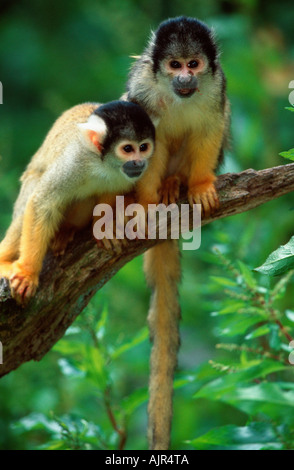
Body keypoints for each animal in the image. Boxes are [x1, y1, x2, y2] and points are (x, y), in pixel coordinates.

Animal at [0, 100, 156, 302]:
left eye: (144, 147)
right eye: (128, 149)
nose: (139, 163)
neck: (102, 164)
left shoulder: (128, 176)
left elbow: (111, 194)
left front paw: (104, 225)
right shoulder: (75, 161)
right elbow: (42, 203)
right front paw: (27, 273)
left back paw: (67, 230)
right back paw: (4, 260)